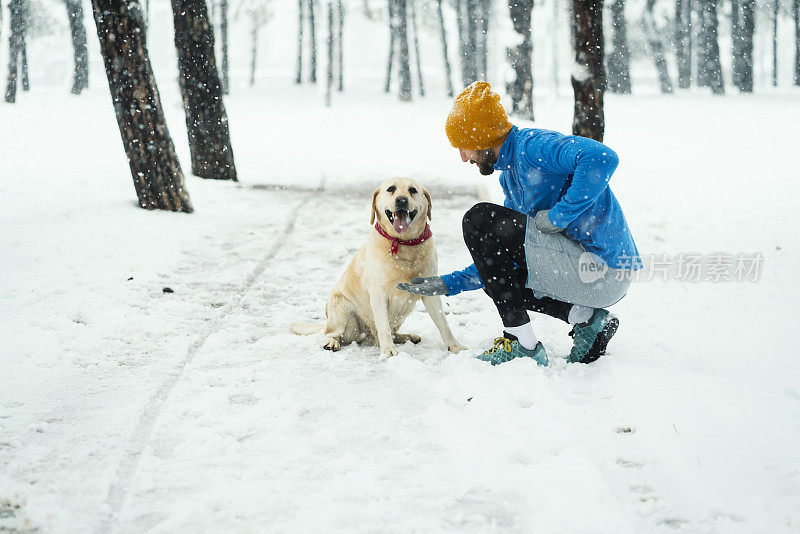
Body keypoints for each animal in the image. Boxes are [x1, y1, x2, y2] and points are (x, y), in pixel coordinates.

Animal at [292, 178, 468, 358]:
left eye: (412, 190)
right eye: (391, 189)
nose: (402, 200)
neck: (404, 243)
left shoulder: (429, 289)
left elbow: (443, 324)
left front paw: (455, 347)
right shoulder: (378, 293)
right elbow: (383, 326)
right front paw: (388, 350)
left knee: (391, 333)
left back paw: (408, 336)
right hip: (341, 306)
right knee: (332, 333)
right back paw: (332, 343)